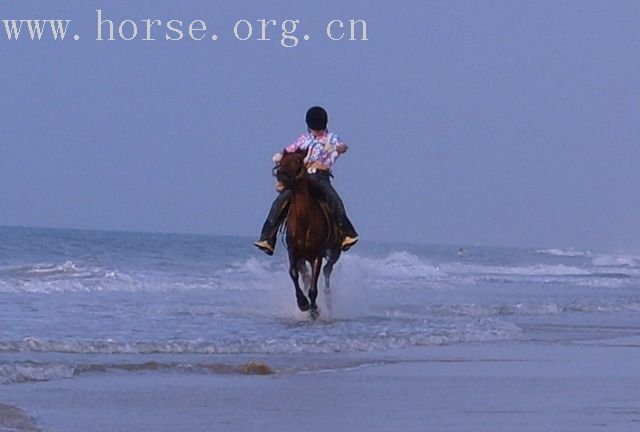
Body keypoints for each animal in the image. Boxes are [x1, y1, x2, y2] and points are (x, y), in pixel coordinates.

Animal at [276, 150, 342, 318]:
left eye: (299, 160)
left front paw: (314, 310)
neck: (304, 220)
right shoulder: (293, 252)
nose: (281, 174)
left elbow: (314, 286)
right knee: (307, 275)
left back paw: (328, 302)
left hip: (335, 251)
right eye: (282, 160)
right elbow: (294, 273)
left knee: (327, 271)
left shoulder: (317, 254)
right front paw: (302, 303)